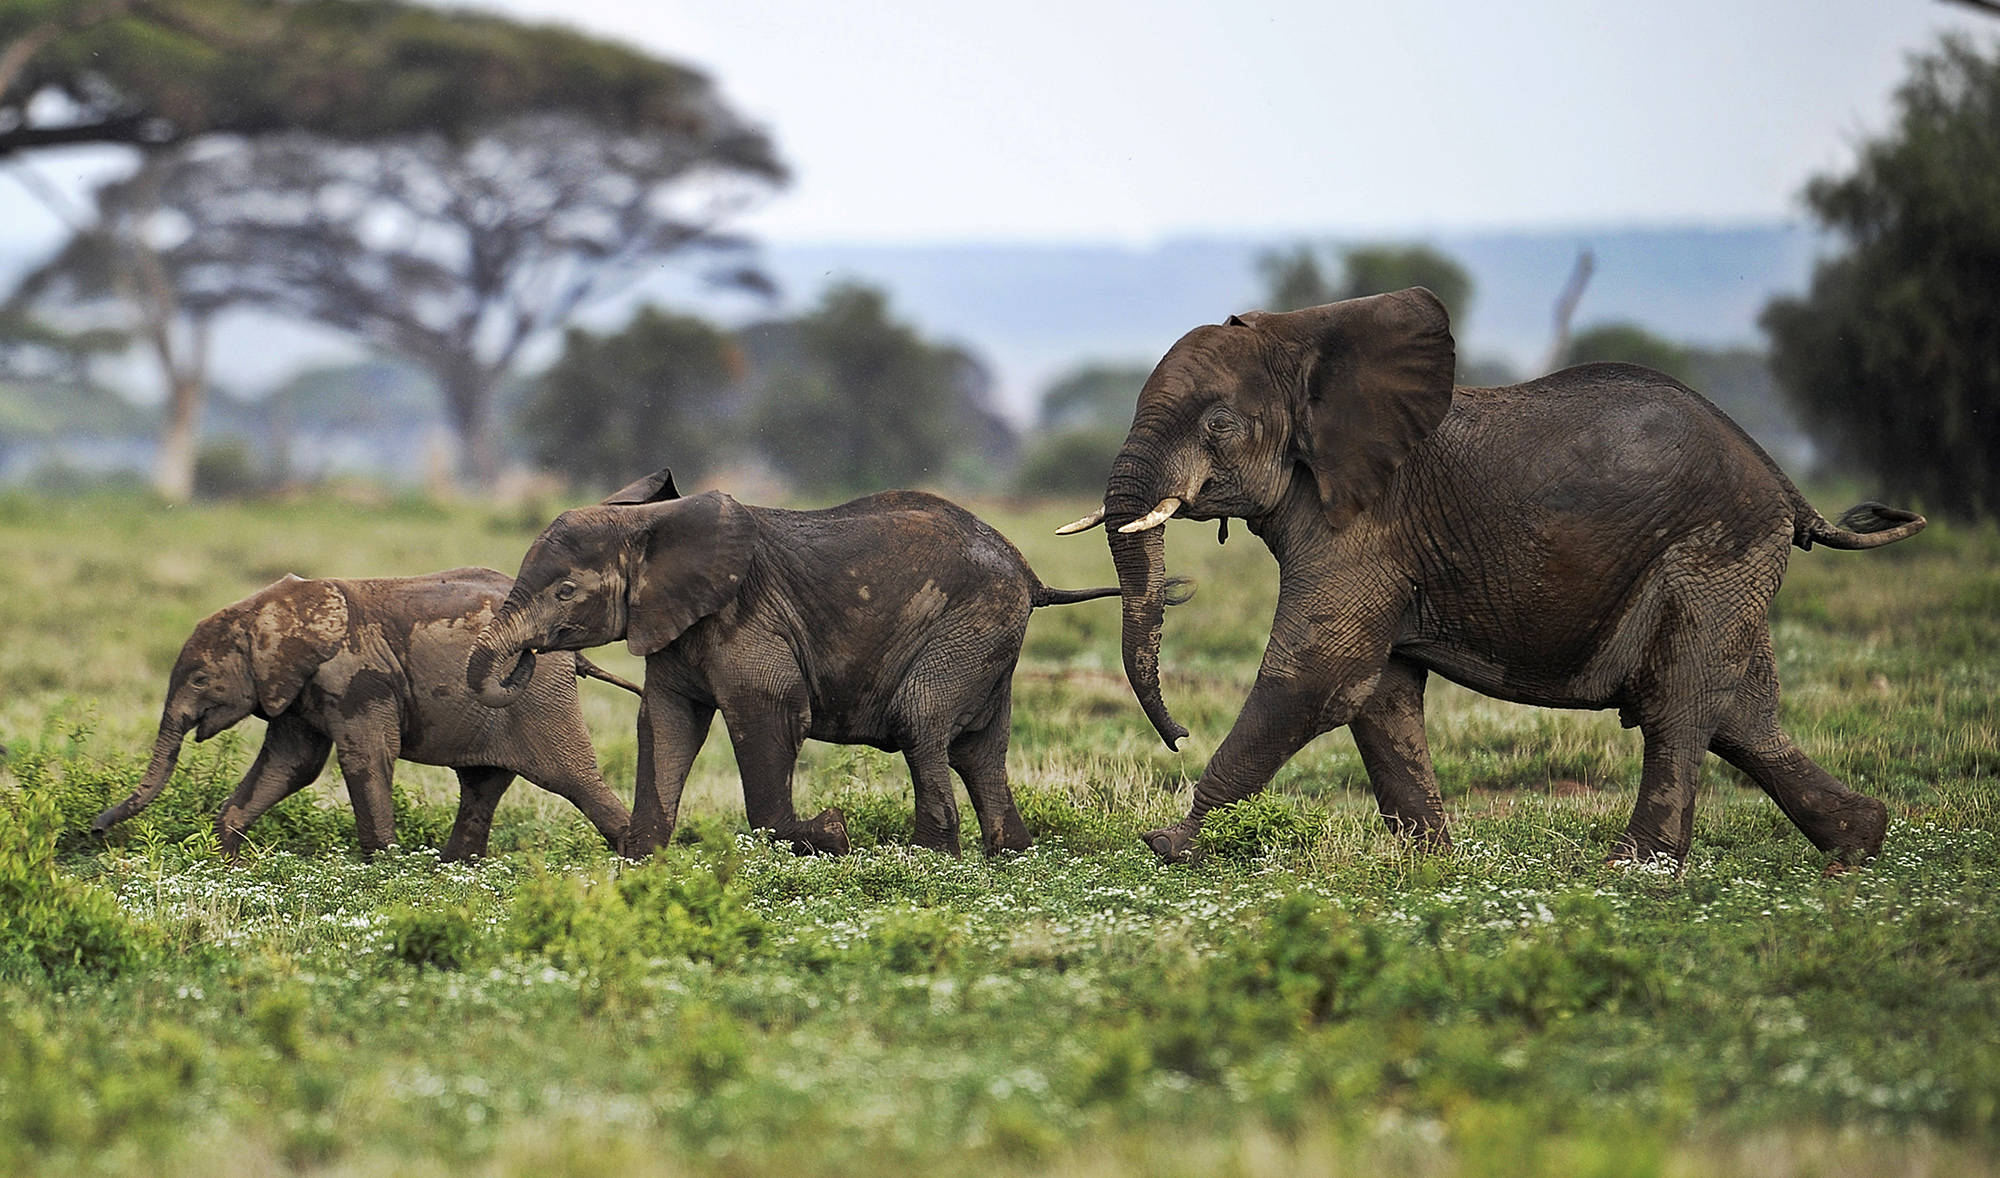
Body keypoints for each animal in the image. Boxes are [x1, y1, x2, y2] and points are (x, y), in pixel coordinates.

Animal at [93, 569, 638, 860]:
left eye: (201, 680)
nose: (97, 830)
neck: (264, 609)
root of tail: (570, 651)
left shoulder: (355, 677)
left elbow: (365, 759)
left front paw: (382, 871)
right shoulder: (297, 686)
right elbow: (289, 766)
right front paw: (225, 859)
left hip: (538, 697)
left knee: (572, 778)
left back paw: (637, 863)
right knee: (482, 785)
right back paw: (452, 872)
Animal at [466, 470, 1120, 857]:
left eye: (565, 592)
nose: (525, 662)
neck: (653, 526)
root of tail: (1031, 574)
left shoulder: (747, 622)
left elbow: (770, 716)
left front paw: (830, 832)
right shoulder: (674, 626)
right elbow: (665, 724)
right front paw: (640, 858)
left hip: (968, 628)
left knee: (921, 723)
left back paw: (929, 859)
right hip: (987, 641)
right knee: (979, 749)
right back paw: (1007, 853)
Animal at [1060, 288, 1925, 867]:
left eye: (1218, 424)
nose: (1176, 737)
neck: (1305, 337)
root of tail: (1782, 482)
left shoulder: (1365, 528)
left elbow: (1316, 677)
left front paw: (1168, 844)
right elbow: (1378, 692)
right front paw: (1430, 867)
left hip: (1710, 551)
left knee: (1679, 703)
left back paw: (1635, 874)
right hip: (1730, 565)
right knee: (1741, 712)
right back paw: (1859, 843)